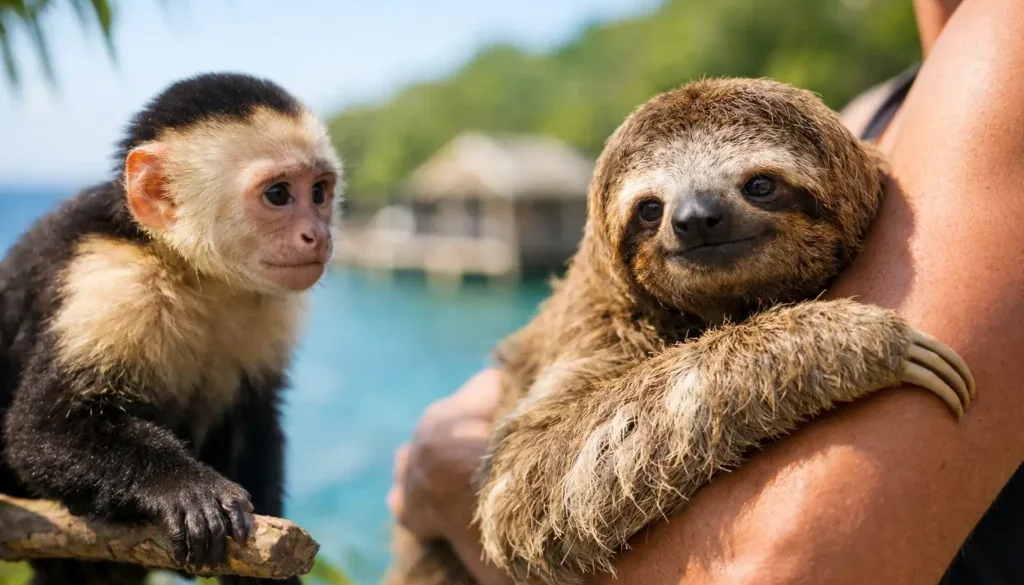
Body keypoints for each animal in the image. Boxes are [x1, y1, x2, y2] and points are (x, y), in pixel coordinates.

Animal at [0, 72, 343, 585]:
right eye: (279, 194)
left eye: (319, 192)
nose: (318, 236)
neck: (184, 267)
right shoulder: (113, 279)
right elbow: (40, 431)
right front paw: (185, 487)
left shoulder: (271, 310)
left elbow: (254, 417)